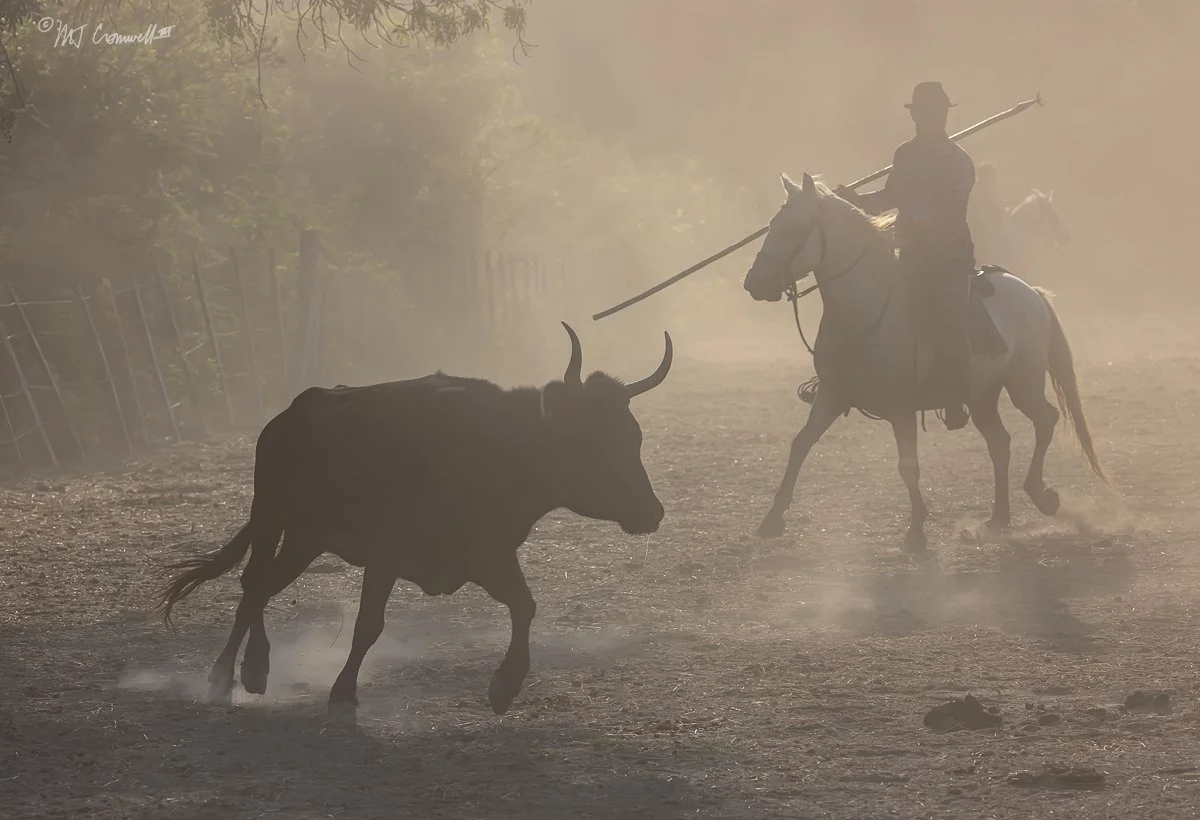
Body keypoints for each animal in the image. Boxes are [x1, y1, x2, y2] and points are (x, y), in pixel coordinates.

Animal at [156, 322, 673, 726]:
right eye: (589, 438)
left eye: (633, 437)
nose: (652, 511)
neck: (498, 450)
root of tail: (288, 416)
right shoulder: (387, 555)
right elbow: (368, 625)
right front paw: (342, 695)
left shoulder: (489, 553)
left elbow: (524, 606)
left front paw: (505, 685)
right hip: (271, 516)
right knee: (254, 585)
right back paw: (232, 674)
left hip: (306, 537)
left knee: (261, 586)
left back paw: (242, 672)